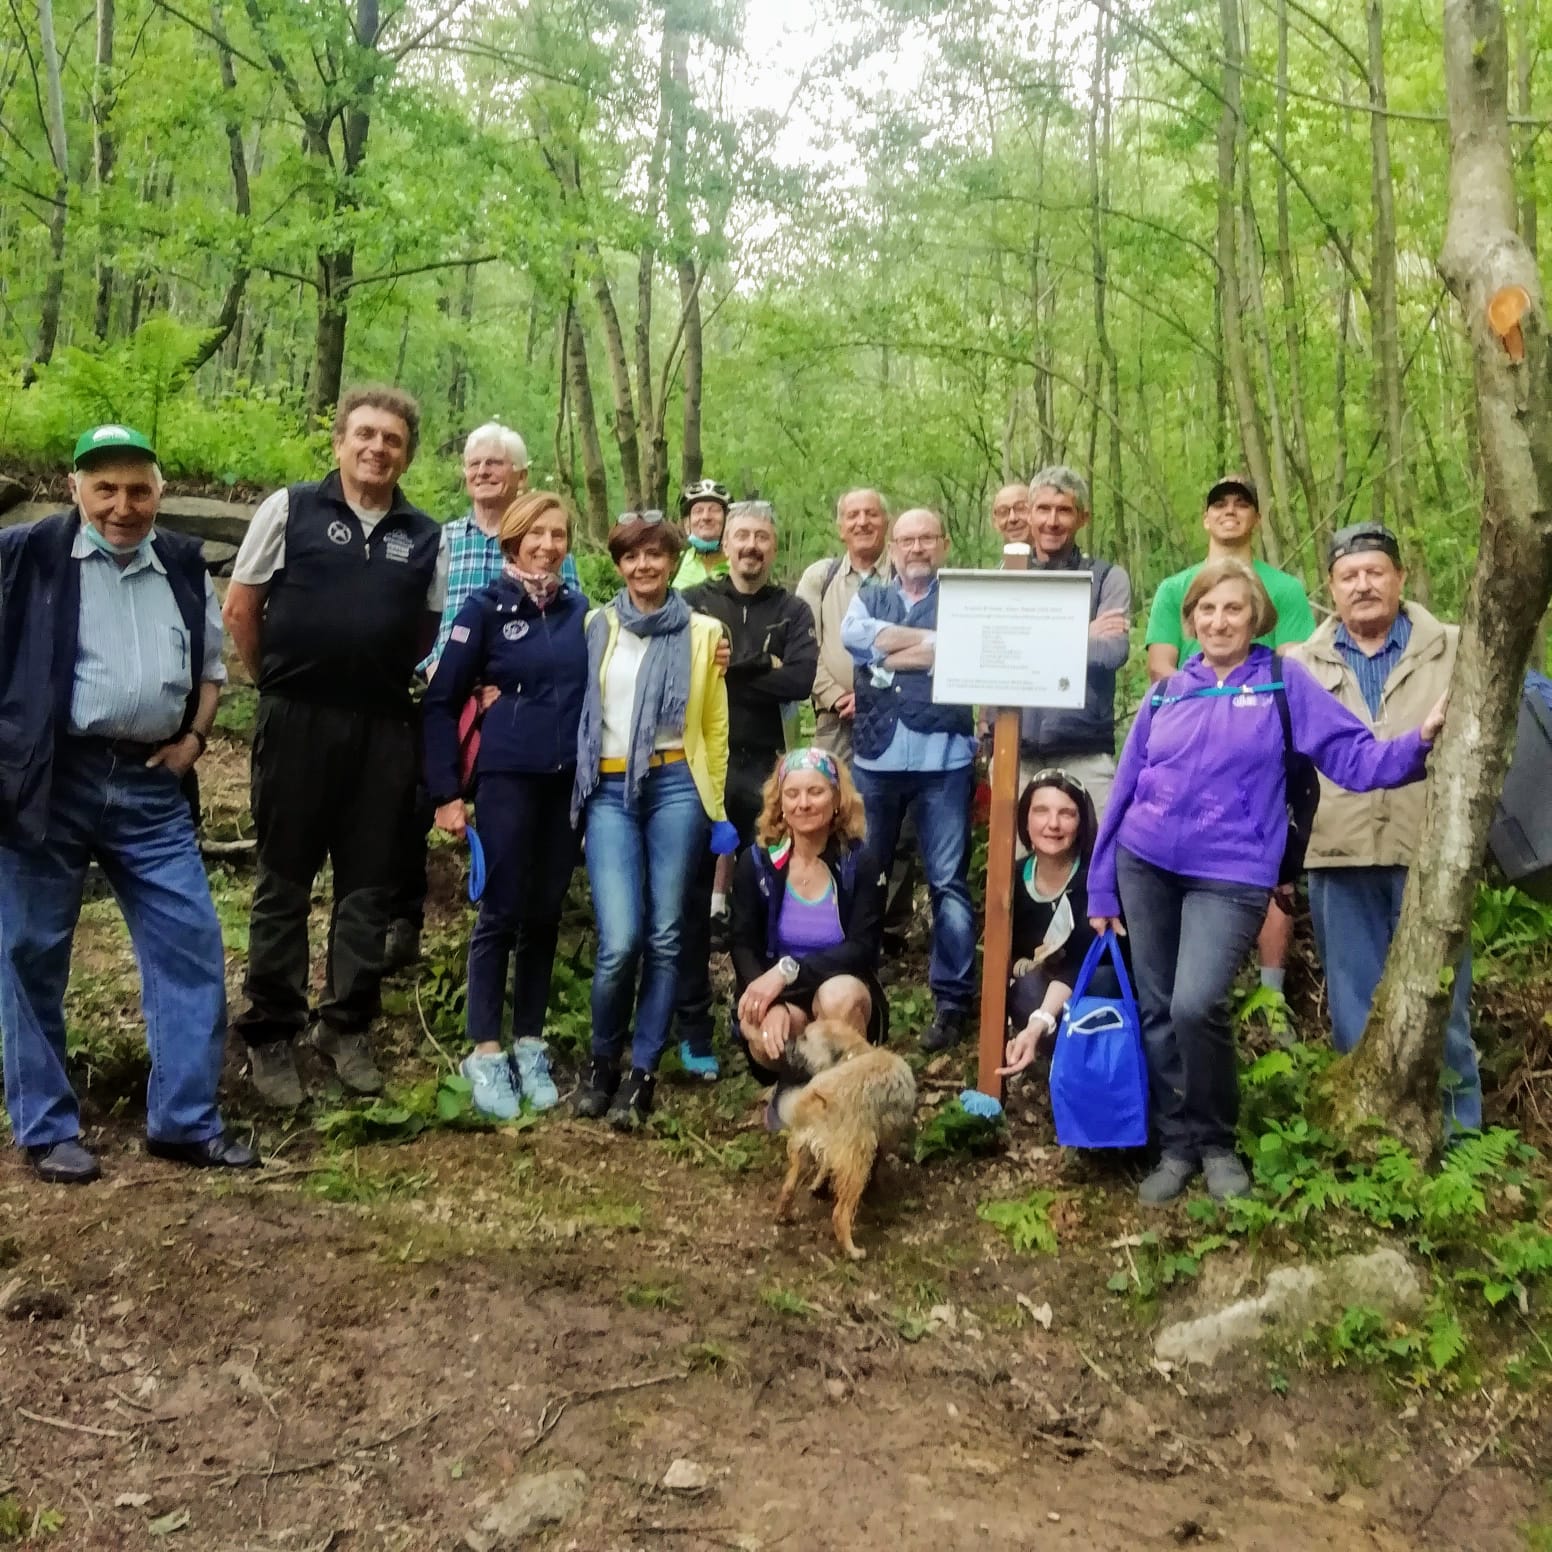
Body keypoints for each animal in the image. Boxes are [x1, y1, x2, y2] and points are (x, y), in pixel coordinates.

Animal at [772, 1018, 912, 1260]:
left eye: (804, 1037)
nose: (787, 1040)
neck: (854, 1051)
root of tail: (815, 1099)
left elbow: (823, 1168)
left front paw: (817, 1184)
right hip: (857, 1160)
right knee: (840, 1214)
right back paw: (852, 1250)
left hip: (799, 1151)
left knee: (788, 1187)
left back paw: (783, 1214)